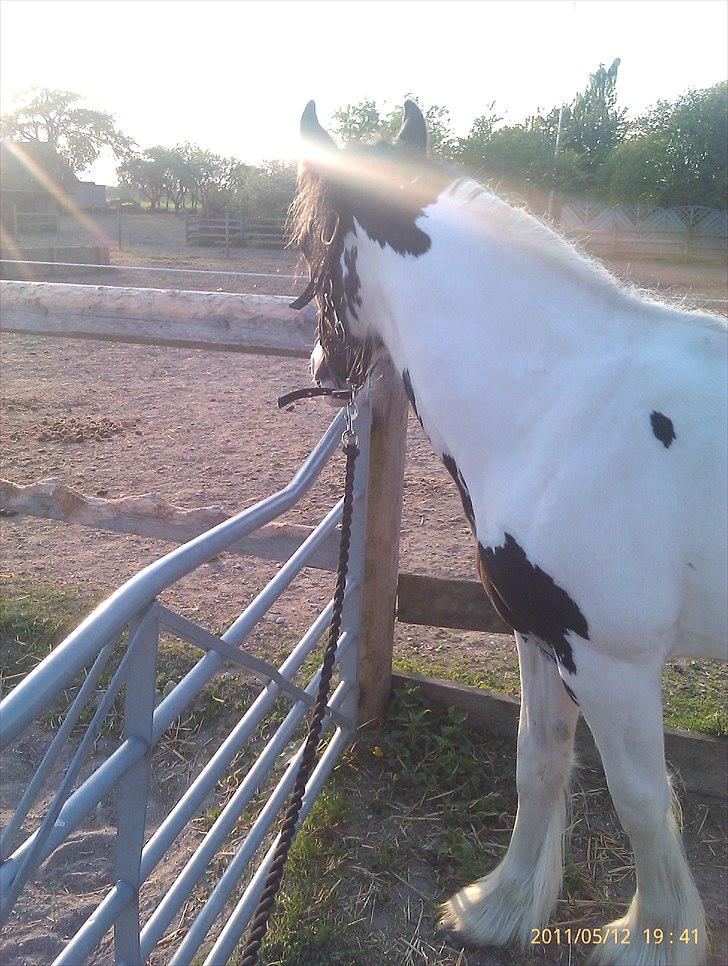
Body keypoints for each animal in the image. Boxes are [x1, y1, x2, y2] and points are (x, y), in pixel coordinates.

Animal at [290, 102, 728, 964]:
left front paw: (650, 940)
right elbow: (539, 761)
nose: (323, 364)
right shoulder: (541, 634)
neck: (564, 404)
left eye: (313, 239)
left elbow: (640, 798)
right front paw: (500, 909)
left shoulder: (613, 660)